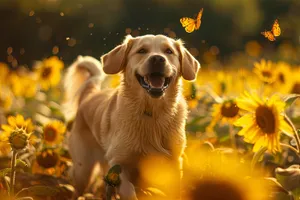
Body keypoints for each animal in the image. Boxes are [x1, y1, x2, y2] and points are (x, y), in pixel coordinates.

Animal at [63, 33, 199, 199]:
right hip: (83, 169)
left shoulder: (173, 163)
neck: (152, 113)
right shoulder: (118, 165)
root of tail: (90, 94)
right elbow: (128, 191)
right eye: (142, 51)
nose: (157, 59)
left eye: (169, 51)